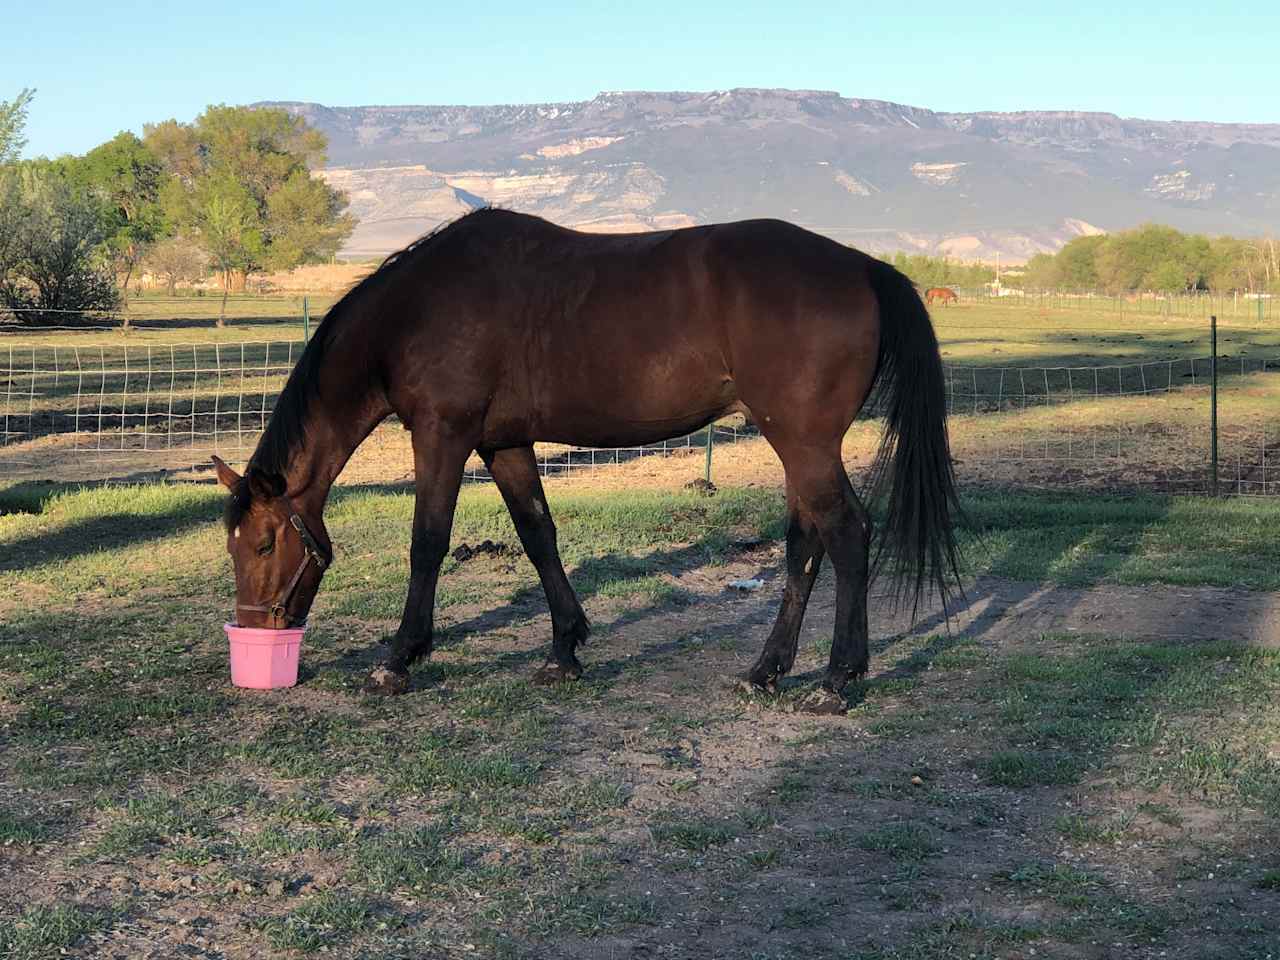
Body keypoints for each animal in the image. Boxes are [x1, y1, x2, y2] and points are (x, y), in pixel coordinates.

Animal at [212, 209, 962, 716]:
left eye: (264, 542)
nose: (256, 631)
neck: (417, 309)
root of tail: (863, 267)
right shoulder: (504, 445)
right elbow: (538, 535)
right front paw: (565, 649)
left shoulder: (443, 436)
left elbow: (427, 543)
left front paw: (399, 659)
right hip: (796, 447)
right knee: (806, 544)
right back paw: (766, 671)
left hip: (803, 444)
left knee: (847, 536)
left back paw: (837, 681)